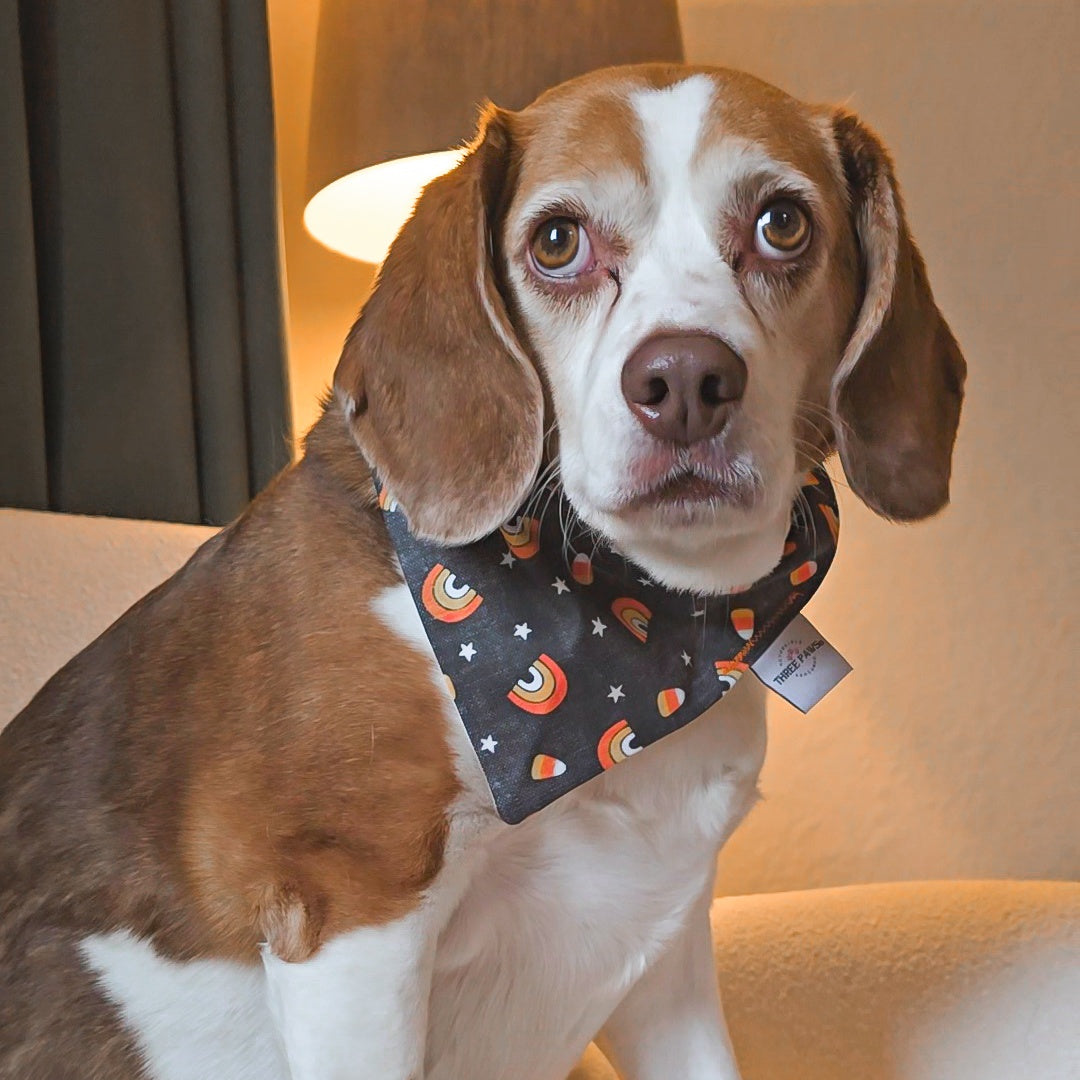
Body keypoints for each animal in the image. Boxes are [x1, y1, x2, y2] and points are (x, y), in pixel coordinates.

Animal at [0, 63, 963, 1075]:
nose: (684, 382)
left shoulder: (663, 960)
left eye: (783, 224)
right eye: (557, 242)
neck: (637, 633)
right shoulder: (354, 926)